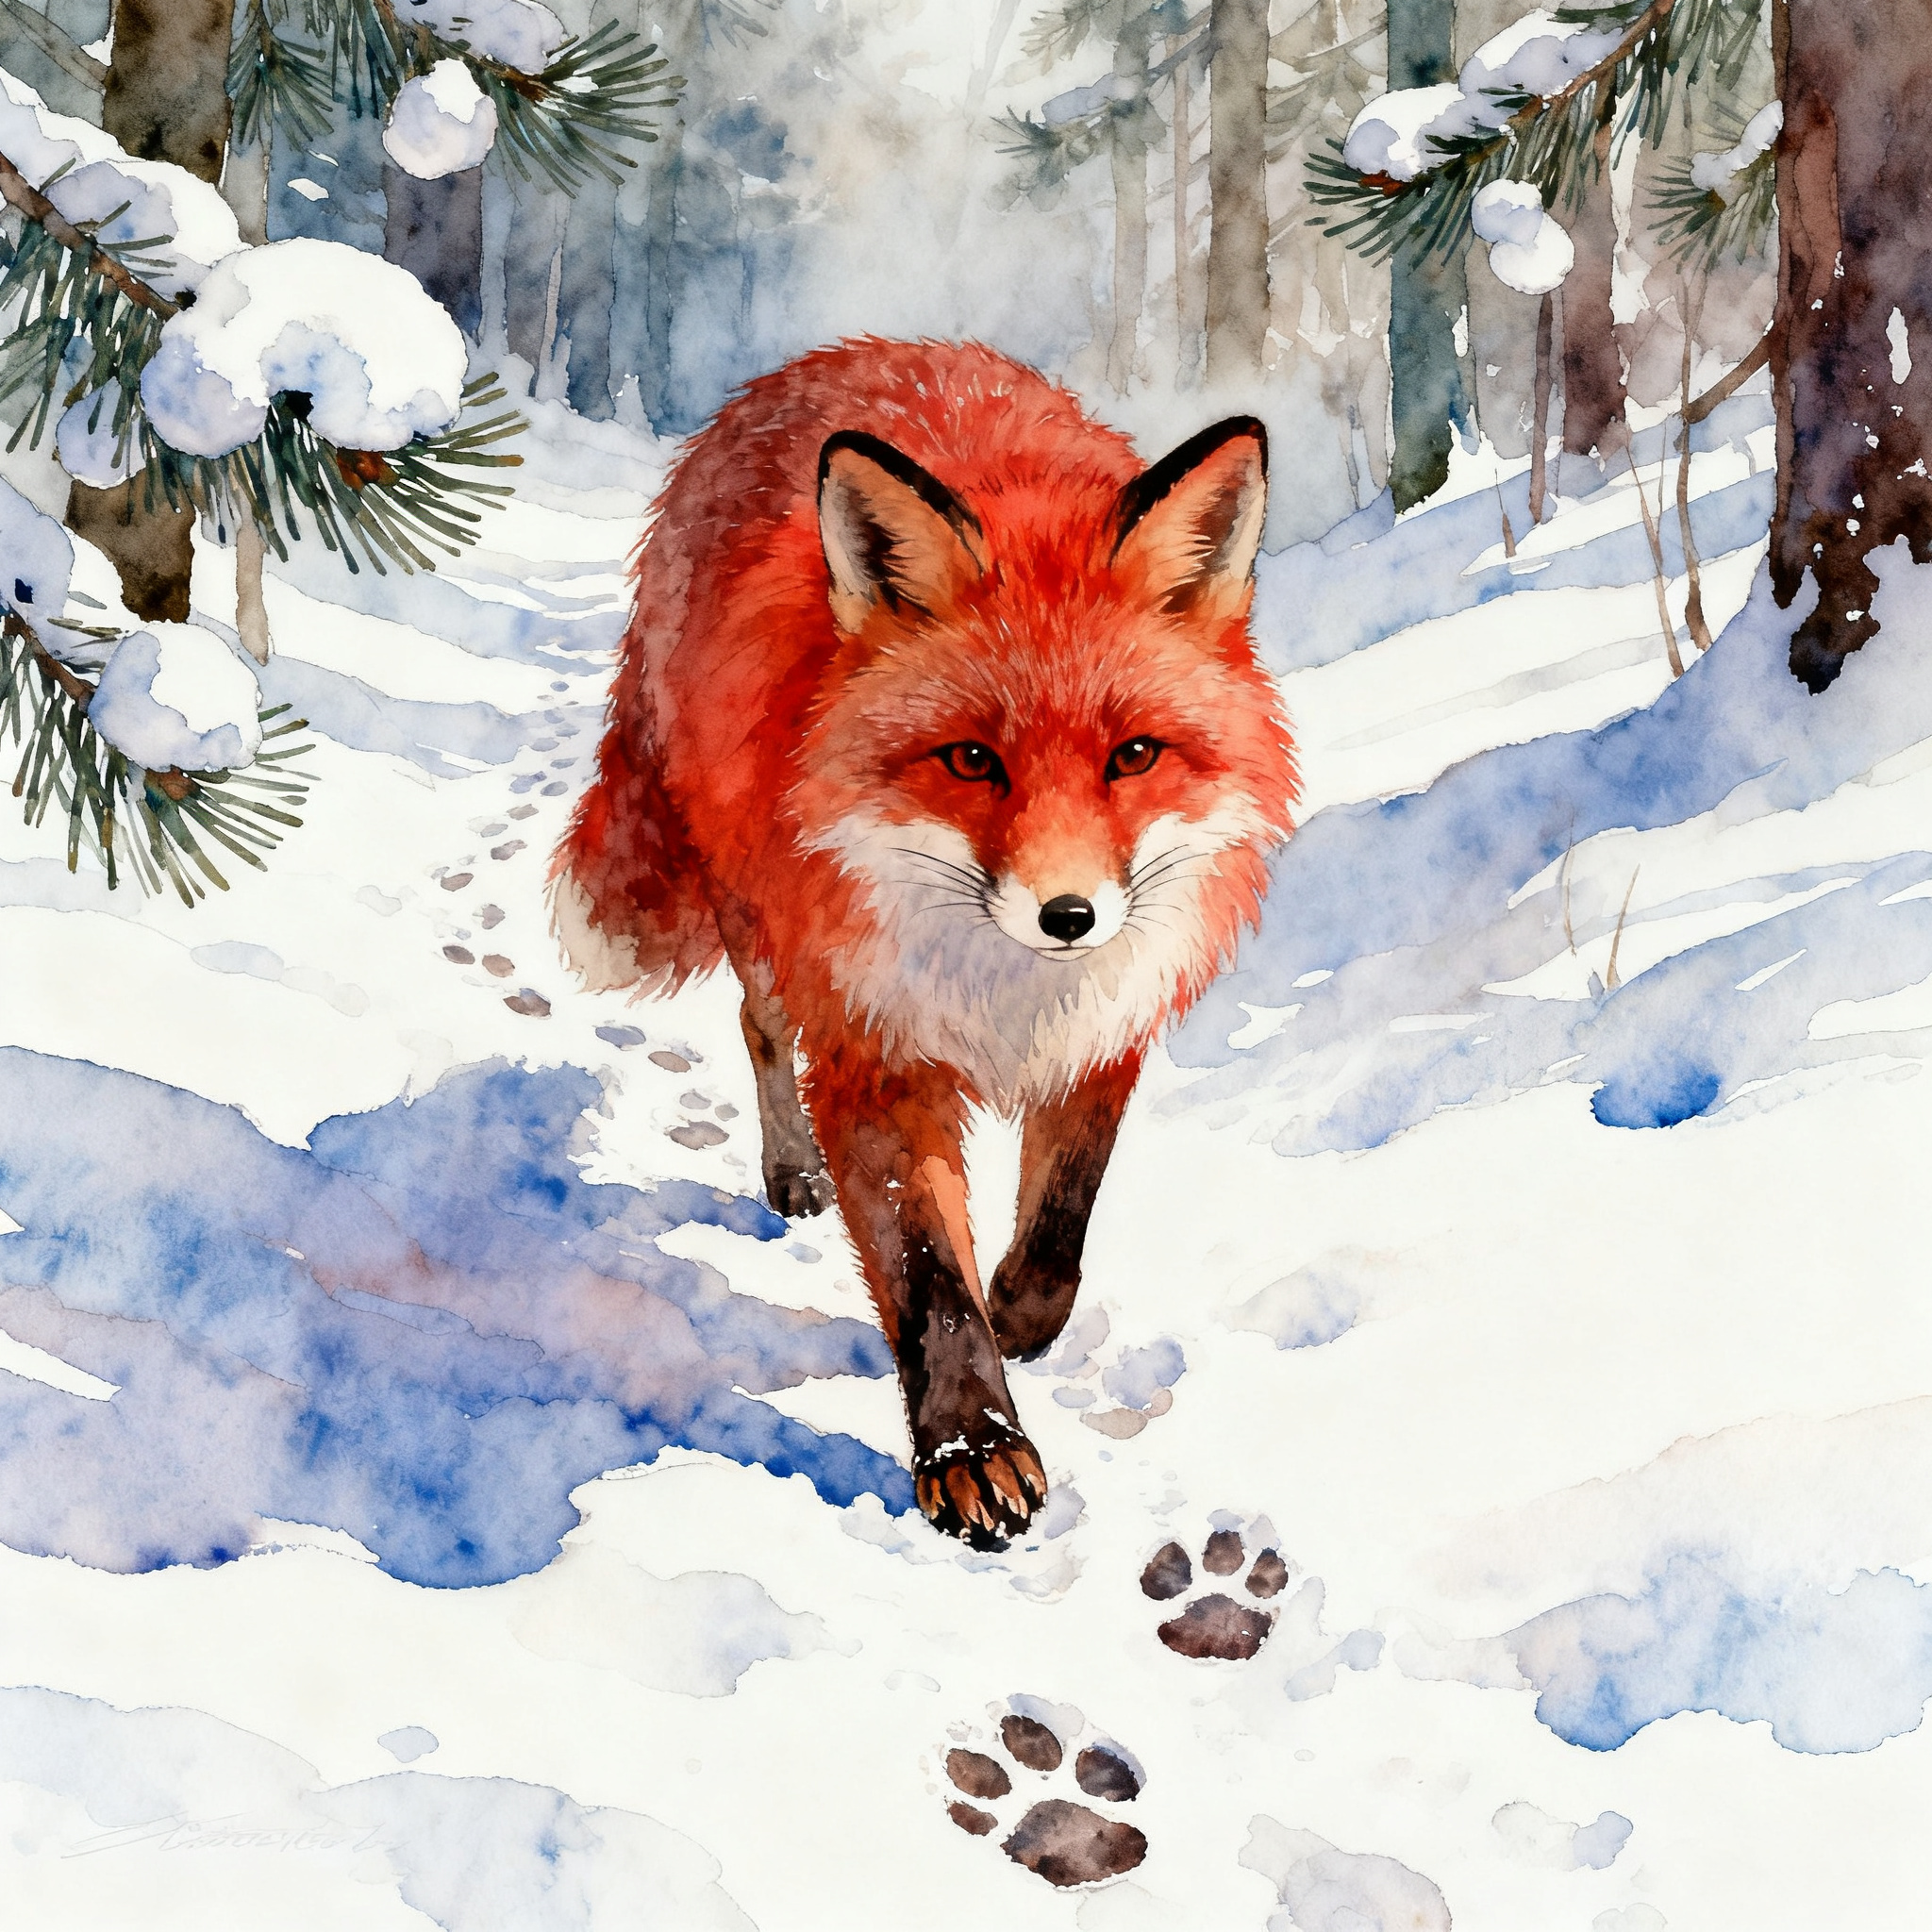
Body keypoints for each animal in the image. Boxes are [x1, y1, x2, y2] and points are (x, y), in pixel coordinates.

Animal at [552, 338, 1296, 1548]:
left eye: (1133, 754)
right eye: (971, 760)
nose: (1067, 915)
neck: (1001, 986)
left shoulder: (1106, 1023)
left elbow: (1056, 1230)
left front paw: (1017, 1317)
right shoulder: (871, 1045)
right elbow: (924, 1276)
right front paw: (970, 1445)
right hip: (757, 920)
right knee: (757, 1026)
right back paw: (792, 1169)